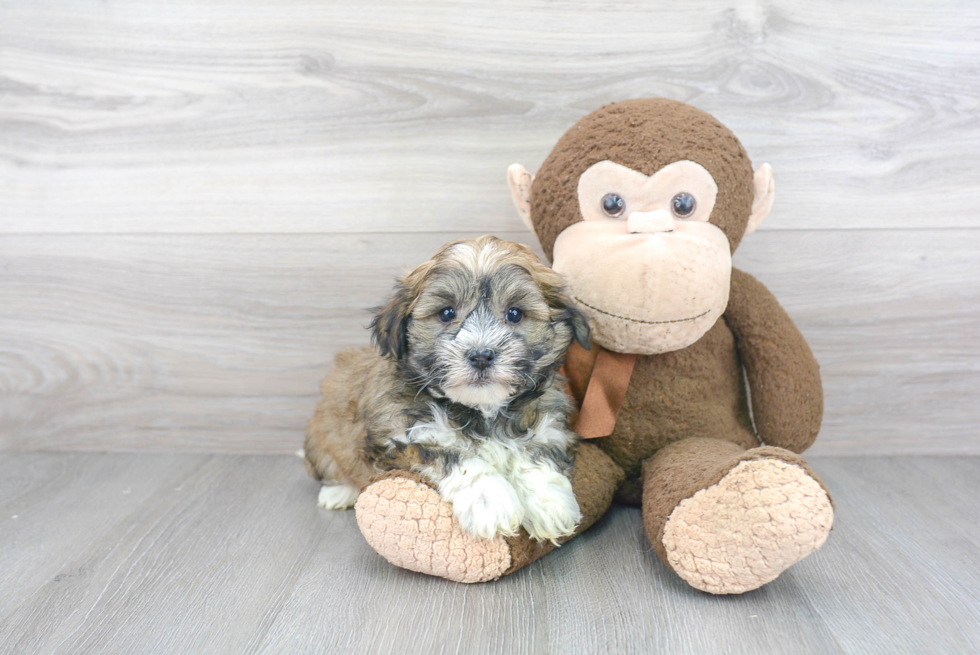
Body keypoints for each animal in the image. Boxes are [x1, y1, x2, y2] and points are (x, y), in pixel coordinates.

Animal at [302, 236, 588, 544]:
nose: (481, 355)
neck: (482, 411)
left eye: (514, 314)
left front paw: (549, 504)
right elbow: (456, 457)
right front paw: (489, 501)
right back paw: (337, 492)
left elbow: (535, 452)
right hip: (322, 436)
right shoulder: (402, 439)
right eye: (447, 312)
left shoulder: (547, 422)